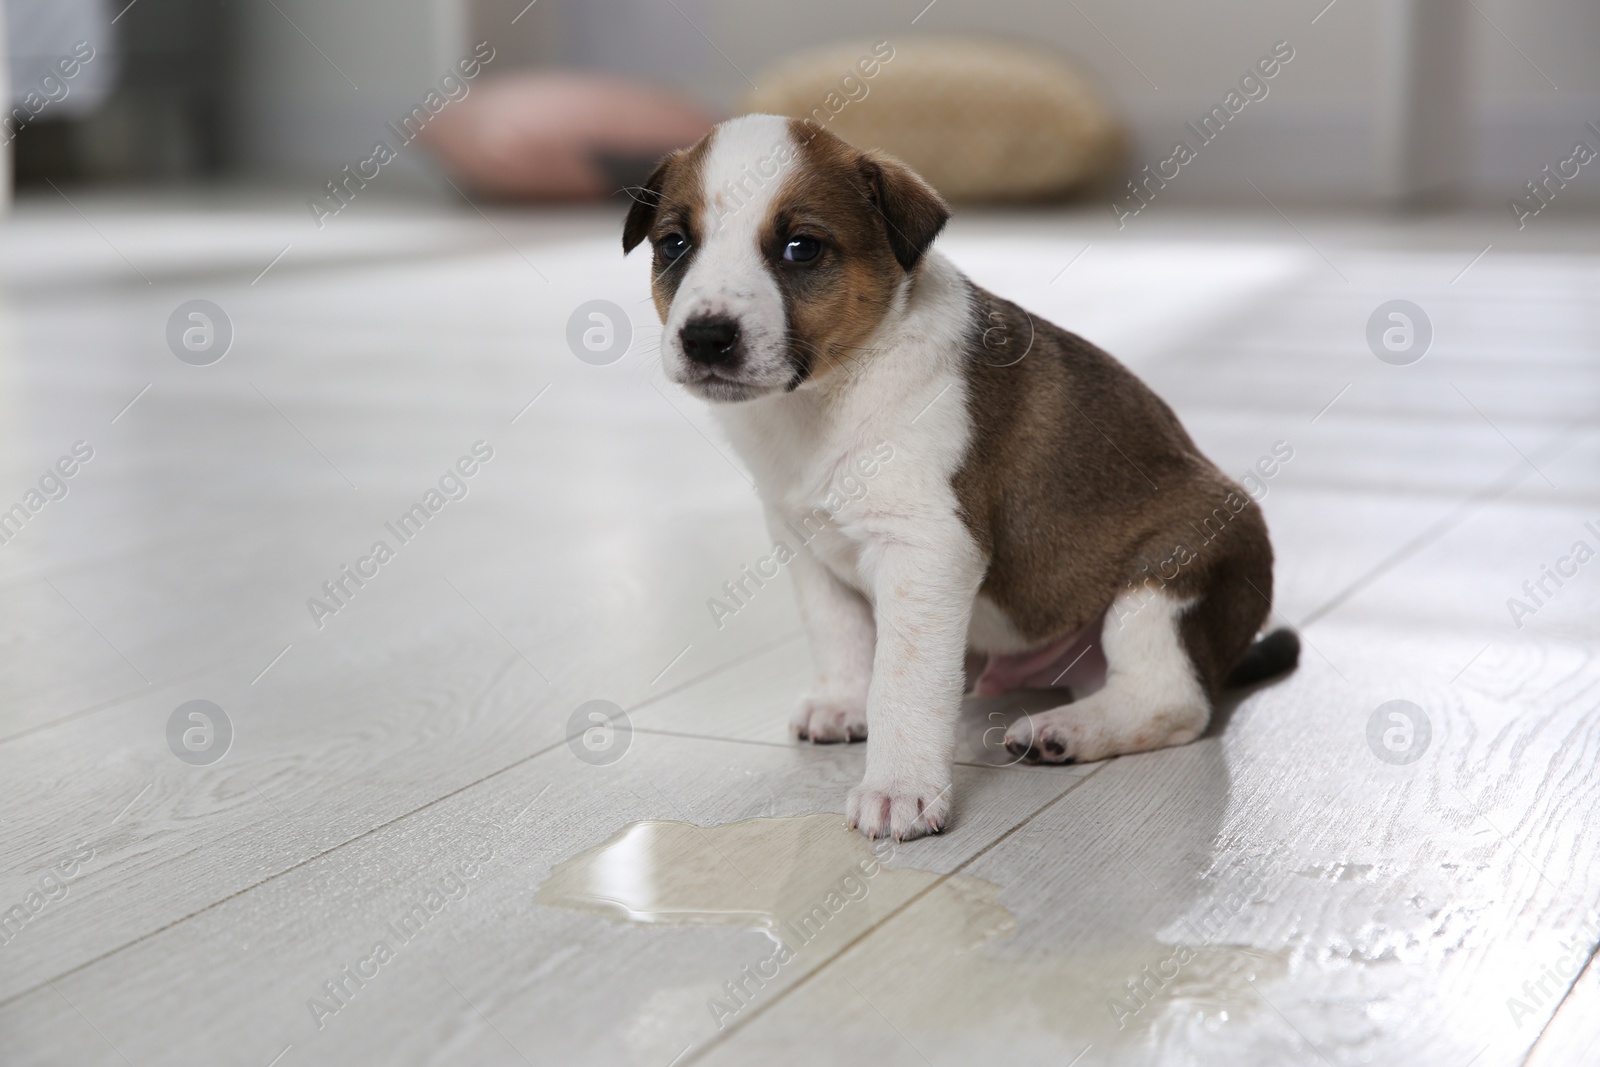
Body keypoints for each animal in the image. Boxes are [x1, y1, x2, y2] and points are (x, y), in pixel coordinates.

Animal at [617, 115, 1292, 844]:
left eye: (802, 248)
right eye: (675, 244)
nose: (706, 338)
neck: (827, 398)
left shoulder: (928, 550)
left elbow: (904, 682)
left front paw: (898, 787)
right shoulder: (805, 545)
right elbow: (841, 634)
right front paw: (844, 700)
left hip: (1166, 579)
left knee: (1173, 699)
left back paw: (1065, 729)